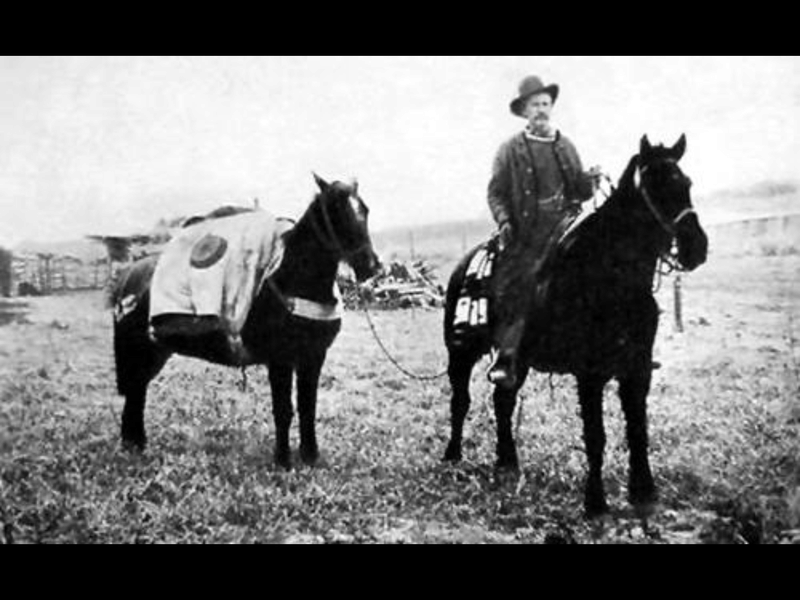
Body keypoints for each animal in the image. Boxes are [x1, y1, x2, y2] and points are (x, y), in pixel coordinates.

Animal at [111, 173, 382, 468]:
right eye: (335, 209)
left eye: (365, 210)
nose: (371, 266)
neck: (293, 280)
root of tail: (128, 275)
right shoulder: (280, 359)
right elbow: (284, 409)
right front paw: (283, 460)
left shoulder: (313, 356)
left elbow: (308, 407)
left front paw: (310, 456)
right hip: (140, 350)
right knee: (135, 389)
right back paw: (133, 444)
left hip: (155, 351)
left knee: (138, 390)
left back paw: (136, 443)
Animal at [440, 136, 708, 516]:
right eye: (655, 185)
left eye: (686, 183)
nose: (696, 247)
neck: (610, 276)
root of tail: (462, 265)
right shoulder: (590, 373)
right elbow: (596, 435)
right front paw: (595, 500)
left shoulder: (637, 369)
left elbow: (638, 428)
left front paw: (643, 491)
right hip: (460, 352)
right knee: (460, 400)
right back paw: (453, 455)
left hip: (515, 360)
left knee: (502, 399)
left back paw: (507, 462)